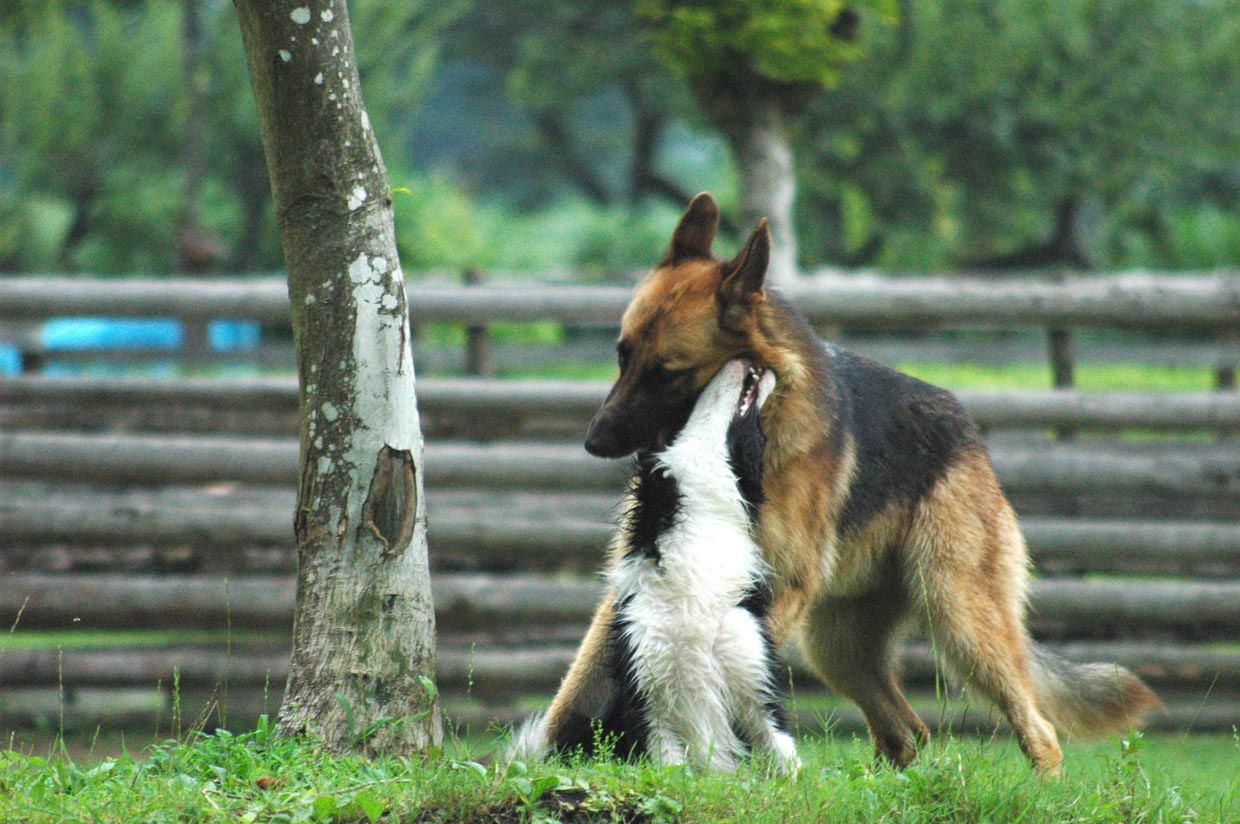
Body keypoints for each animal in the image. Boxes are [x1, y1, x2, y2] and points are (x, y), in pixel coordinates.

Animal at [508, 359, 798, 773]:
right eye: (685, 409)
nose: (747, 360)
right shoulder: (648, 702)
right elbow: (672, 769)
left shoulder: (755, 685)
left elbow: (787, 759)